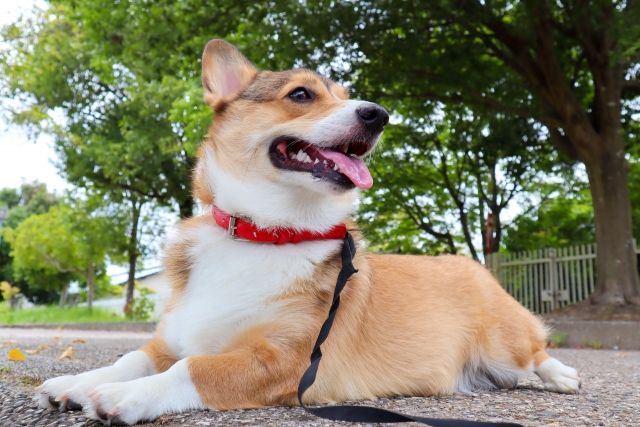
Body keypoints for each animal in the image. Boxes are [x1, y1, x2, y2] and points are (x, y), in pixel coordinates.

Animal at [36, 39, 584, 424]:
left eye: (347, 96)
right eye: (300, 94)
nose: (379, 114)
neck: (262, 233)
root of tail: (475, 269)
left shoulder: (283, 361)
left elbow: (191, 369)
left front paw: (120, 397)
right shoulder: (168, 340)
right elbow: (131, 358)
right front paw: (75, 382)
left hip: (504, 345)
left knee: (537, 351)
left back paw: (562, 376)